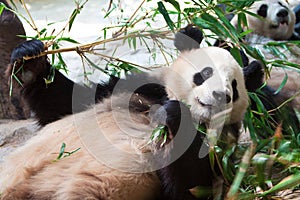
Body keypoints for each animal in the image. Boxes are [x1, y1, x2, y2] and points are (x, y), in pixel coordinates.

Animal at [0, 38, 260, 199]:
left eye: (234, 87)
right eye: (206, 72)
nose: (220, 95)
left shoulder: (220, 148)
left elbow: (191, 186)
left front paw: (177, 116)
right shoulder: (127, 89)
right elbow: (61, 104)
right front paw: (30, 58)